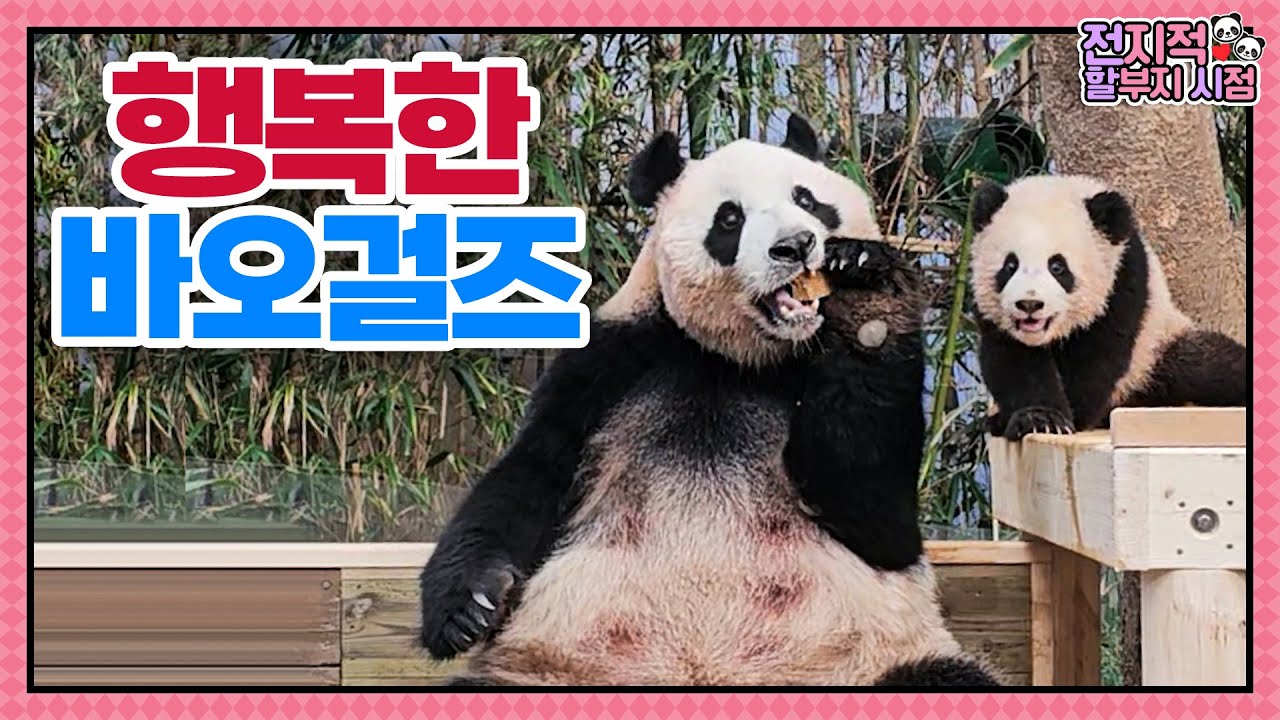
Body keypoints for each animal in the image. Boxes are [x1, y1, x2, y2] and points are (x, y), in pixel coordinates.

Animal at [415, 113, 1001, 687]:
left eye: (808, 199)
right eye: (729, 219)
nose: (795, 245)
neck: (739, 359)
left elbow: (876, 512)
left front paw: (865, 291)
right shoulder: (613, 364)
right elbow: (528, 474)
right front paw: (468, 607)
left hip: (869, 660)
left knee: (946, 677)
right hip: (551, 670)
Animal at [970, 174, 1248, 441]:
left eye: (1058, 266)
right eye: (1010, 265)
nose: (1030, 304)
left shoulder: (1123, 281)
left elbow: (1097, 358)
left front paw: (1072, 415)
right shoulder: (993, 316)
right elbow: (1013, 360)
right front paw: (1040, 419)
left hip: (1155, 348)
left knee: (1207, 366)